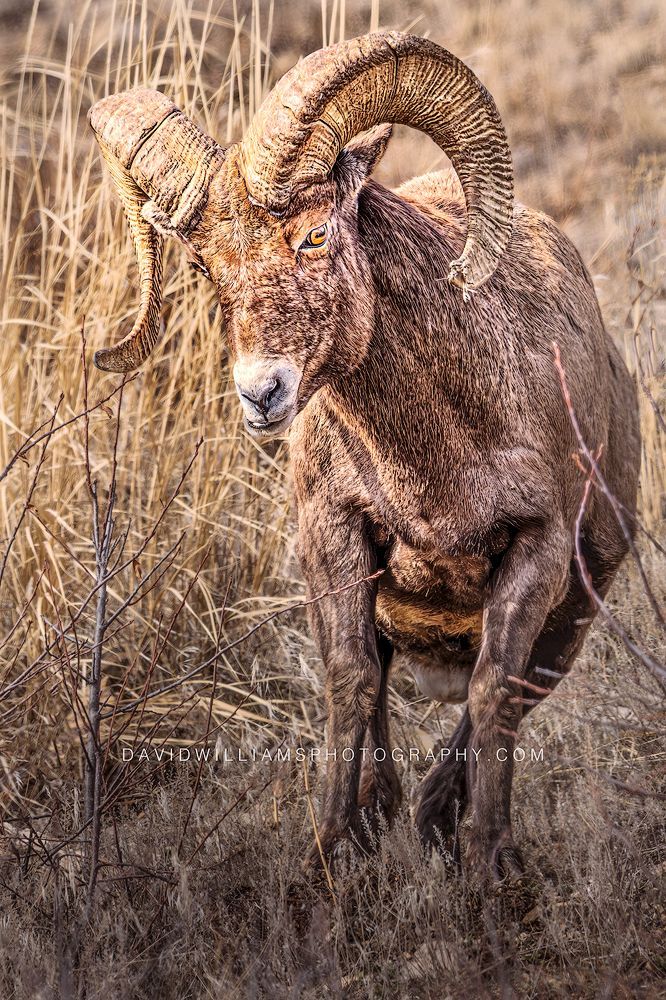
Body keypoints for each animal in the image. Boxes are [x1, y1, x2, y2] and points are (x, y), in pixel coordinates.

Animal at [87, 30, 641, 878]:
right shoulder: (335, 538)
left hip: (573, 617)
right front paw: (334, 853)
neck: (440, 470)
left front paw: (489, 862)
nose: (262, 392)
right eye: (206, 267)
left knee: (506, 699)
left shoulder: (540, 552)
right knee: (383, 685)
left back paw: (436, 821)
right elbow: (351, 683)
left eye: (317, 233)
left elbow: (493, 692)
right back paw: (391, 816)